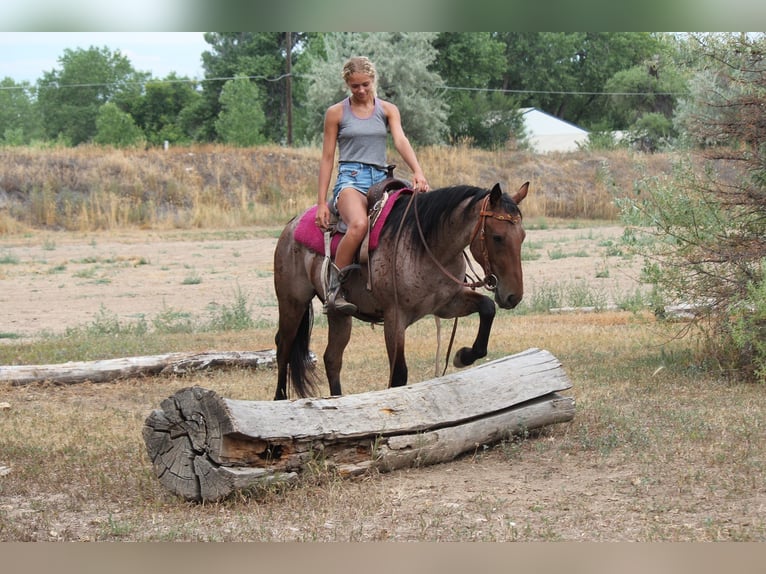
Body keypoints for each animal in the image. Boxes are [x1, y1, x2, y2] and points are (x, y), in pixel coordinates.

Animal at [272, 181, 529, 400]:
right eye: (497, 237)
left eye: (523, 236)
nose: (513, 296)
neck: (427, 246)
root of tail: (291, 224)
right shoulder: (395, 318)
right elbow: (399, 375)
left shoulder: (447, 305)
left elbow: (487, 308)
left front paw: (464, 355)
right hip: (292, 303)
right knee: (283, 347)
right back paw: (279, 398)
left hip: (338, 314)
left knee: (332, 358)